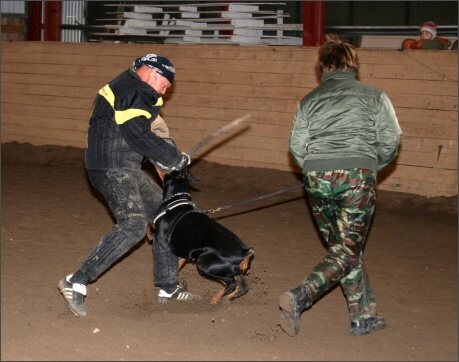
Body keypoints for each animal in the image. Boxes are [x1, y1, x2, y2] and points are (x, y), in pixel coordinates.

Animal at [154, 168, 255, 304]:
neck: (176, 200)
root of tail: (245, 252)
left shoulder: (162, 243)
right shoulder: (185, 252)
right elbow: (176, 266)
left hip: (205, 264)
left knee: (232, 283)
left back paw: (216, 299)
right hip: (231, 269)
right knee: (242, 286)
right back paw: (227, 299)